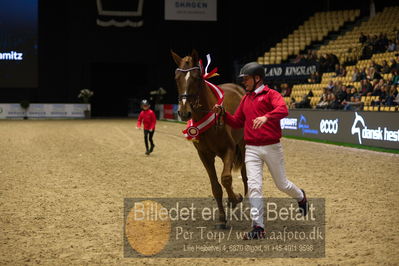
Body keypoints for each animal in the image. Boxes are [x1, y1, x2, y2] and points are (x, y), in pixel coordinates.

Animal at [171, 48, 248, 228]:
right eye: (176, 78)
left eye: (196, 78)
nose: (184, 112)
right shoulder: (204, 155)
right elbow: (216, 186)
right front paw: (222, 217)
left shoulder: (230, 149)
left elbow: (226, 179)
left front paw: (235, 199)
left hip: (242, 146)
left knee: (245, 176)